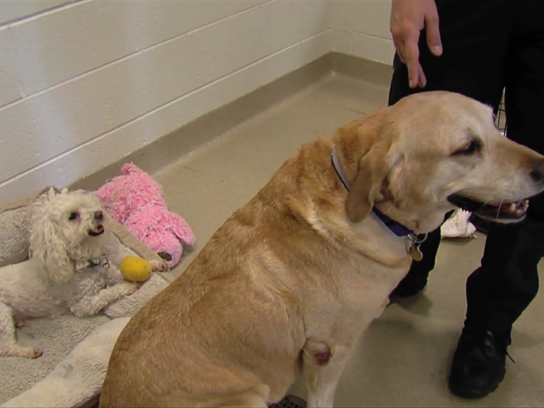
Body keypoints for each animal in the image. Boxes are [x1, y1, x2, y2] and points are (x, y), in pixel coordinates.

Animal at [0, 188, 162, 356]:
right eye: (72, 216)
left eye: (85, 205)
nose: (100, 213)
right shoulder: (83, 305)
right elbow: (106, 294)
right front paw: (127, 286)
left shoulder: (107, 270)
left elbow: (120, 268)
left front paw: (153, 264)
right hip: (2, 315)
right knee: (5, 348)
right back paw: (28, 351)